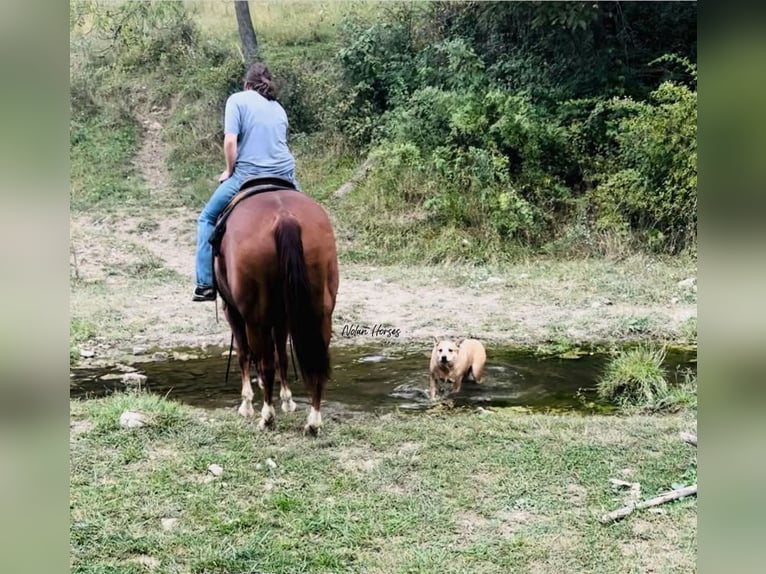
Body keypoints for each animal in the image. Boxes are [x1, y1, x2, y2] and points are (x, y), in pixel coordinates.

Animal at [213, 189, 340, 436]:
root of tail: (284, 217)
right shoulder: (281, 318)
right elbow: (282, 355)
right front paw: (288, 400)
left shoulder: (232, 311)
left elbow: (245, 354)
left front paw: (246, 403)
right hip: (321, 312)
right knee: (317, 362)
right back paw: (313, 421)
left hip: (254, 319)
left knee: (266, 364)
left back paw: (267, 417)